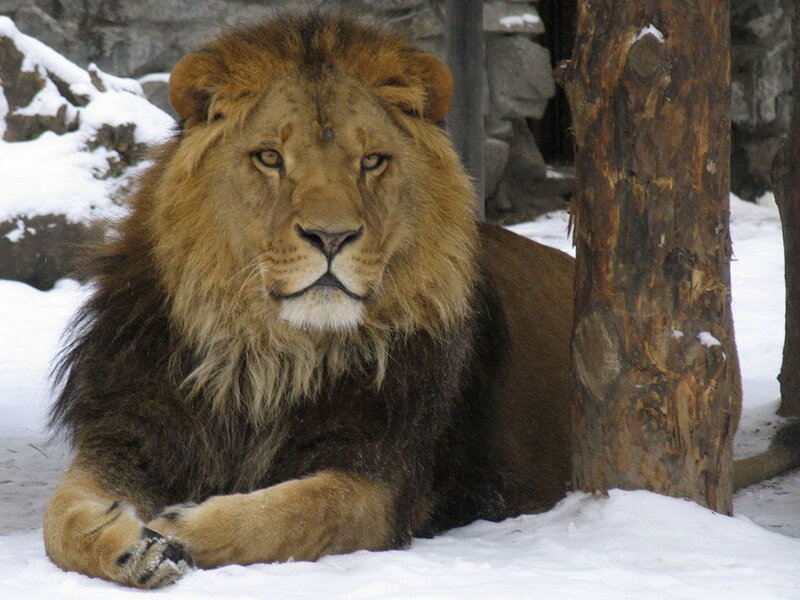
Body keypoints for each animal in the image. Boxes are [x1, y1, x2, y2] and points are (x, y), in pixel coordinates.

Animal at [42, 12, 799, 590]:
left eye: (371, 161)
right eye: (269, 158)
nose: (331, 236)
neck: (269, 354)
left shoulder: (385, 478)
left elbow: (295, 513)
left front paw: (182, 526)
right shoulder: (128, 434)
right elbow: (60, 518)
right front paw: (130, 544)